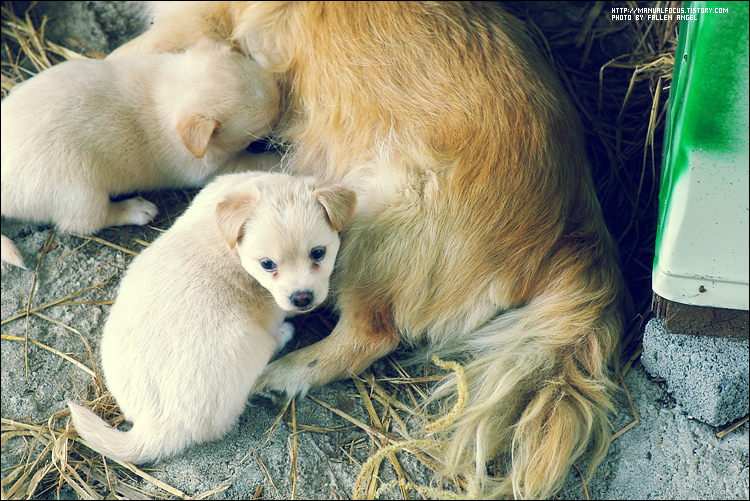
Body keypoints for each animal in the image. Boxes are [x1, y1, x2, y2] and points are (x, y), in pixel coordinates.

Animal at [0, 38, 282, 270]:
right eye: (265, 129)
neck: (172, 91)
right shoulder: (214, 168)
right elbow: (255, 161)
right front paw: (278, 158)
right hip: (82, 194)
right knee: (89, 222)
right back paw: (136, 209)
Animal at [67, 171, 356, 460]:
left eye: (318, 253)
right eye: (267, 264)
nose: (302, 298)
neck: (228, 240)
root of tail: (158, 424)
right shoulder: (274, 304)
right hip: (249, 341)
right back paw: (284, 334)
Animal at [114, 2, 632, 496]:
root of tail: (577, 233)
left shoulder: (194, 20)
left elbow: (127, 54)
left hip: (372, 221)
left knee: (370, 335)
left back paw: (286, 373)